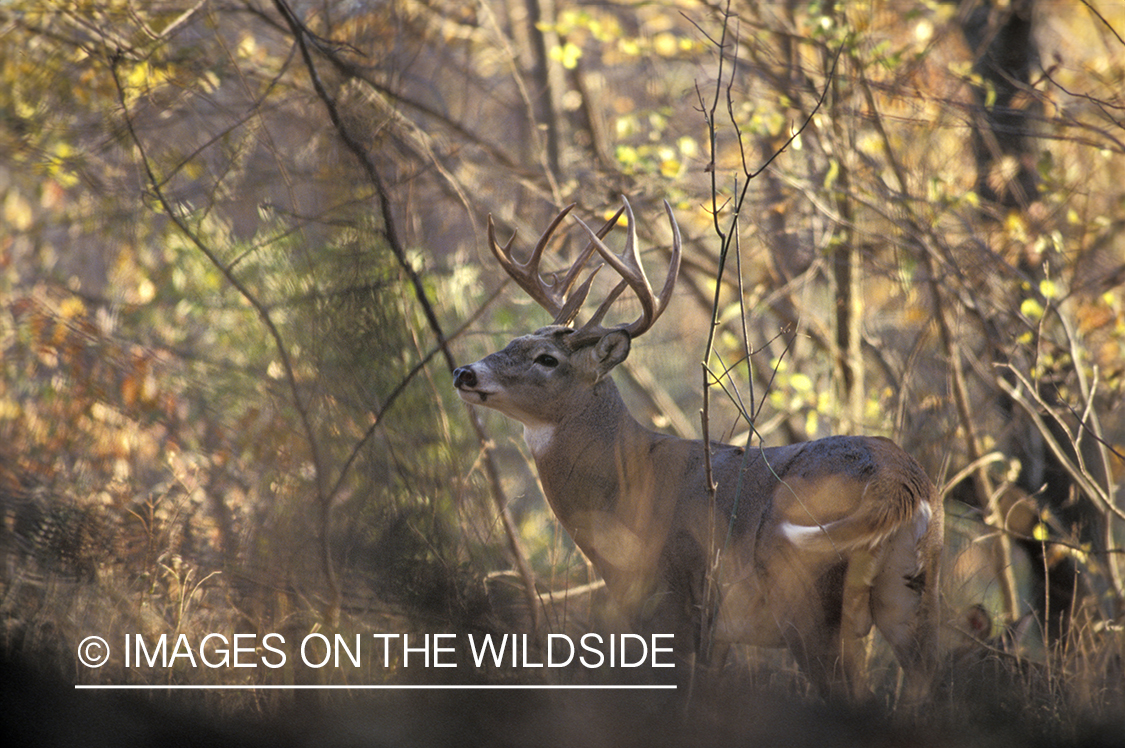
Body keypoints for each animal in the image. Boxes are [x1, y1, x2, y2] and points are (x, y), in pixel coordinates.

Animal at [454, 197, 943, 701]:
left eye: (547, 360)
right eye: (513, 341)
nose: (464, 373)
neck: (626, 483)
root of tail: (901, 478)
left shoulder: (675, 604)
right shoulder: (714, 631)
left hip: (810, 601)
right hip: (913, 597)